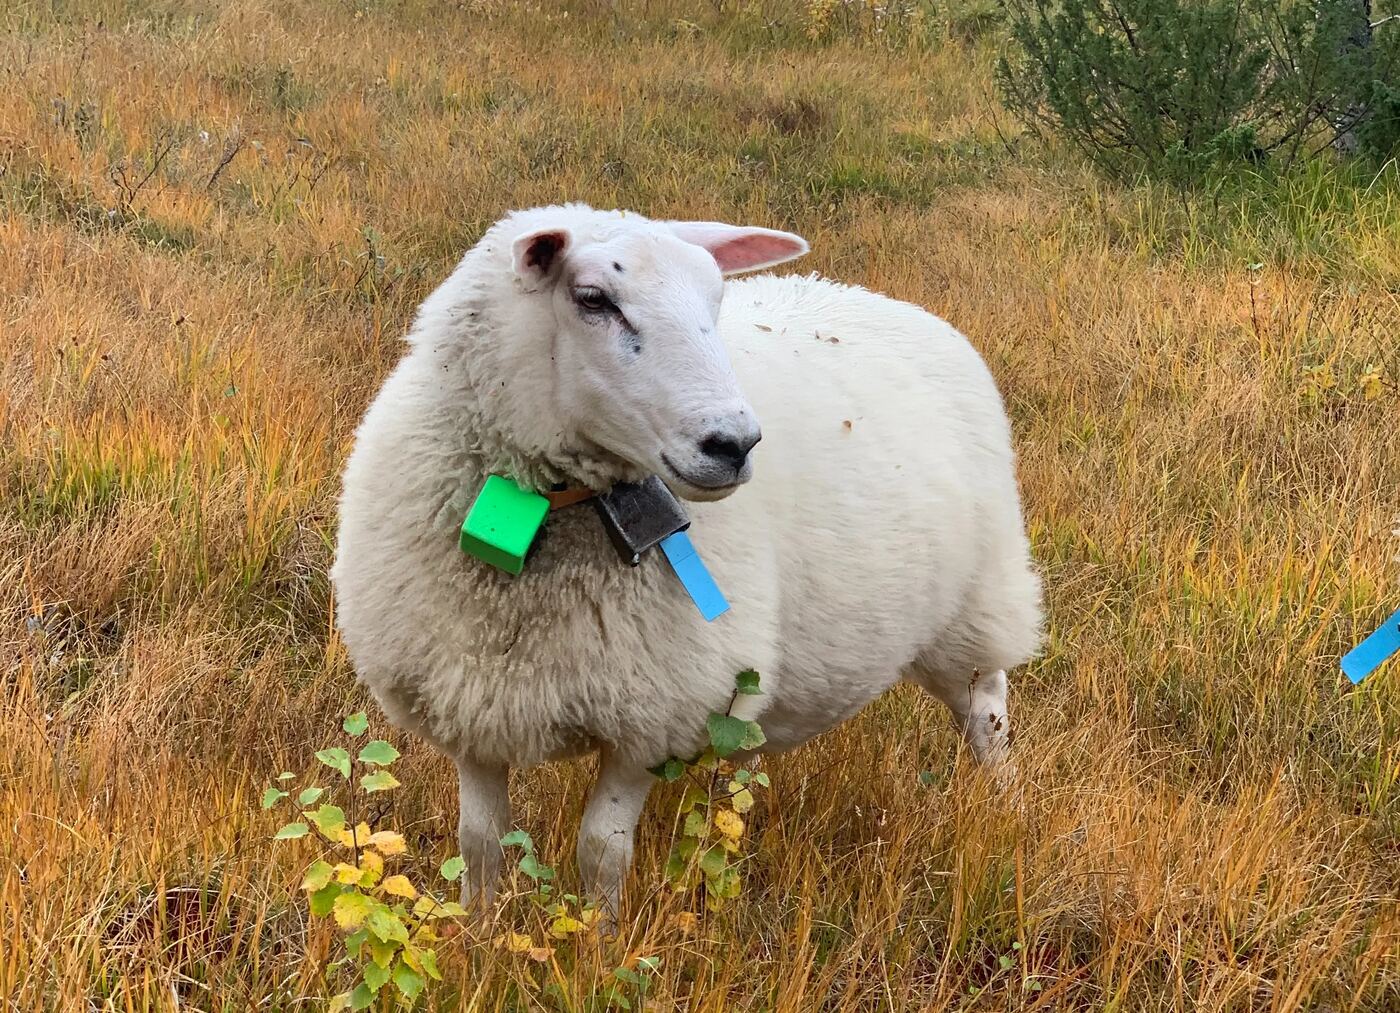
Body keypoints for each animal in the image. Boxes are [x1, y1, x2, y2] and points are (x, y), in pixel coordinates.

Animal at [330, 203, 1042, 919]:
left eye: (715, 297)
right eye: (594, 299)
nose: (735, 443)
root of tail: (888, 301)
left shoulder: (652, 717)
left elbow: (602, 850)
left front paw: (599, 936)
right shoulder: (467, 698)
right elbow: (478, 842)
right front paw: (475, 931)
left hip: (977, 603)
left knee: (986, 709)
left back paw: (1005, 805)